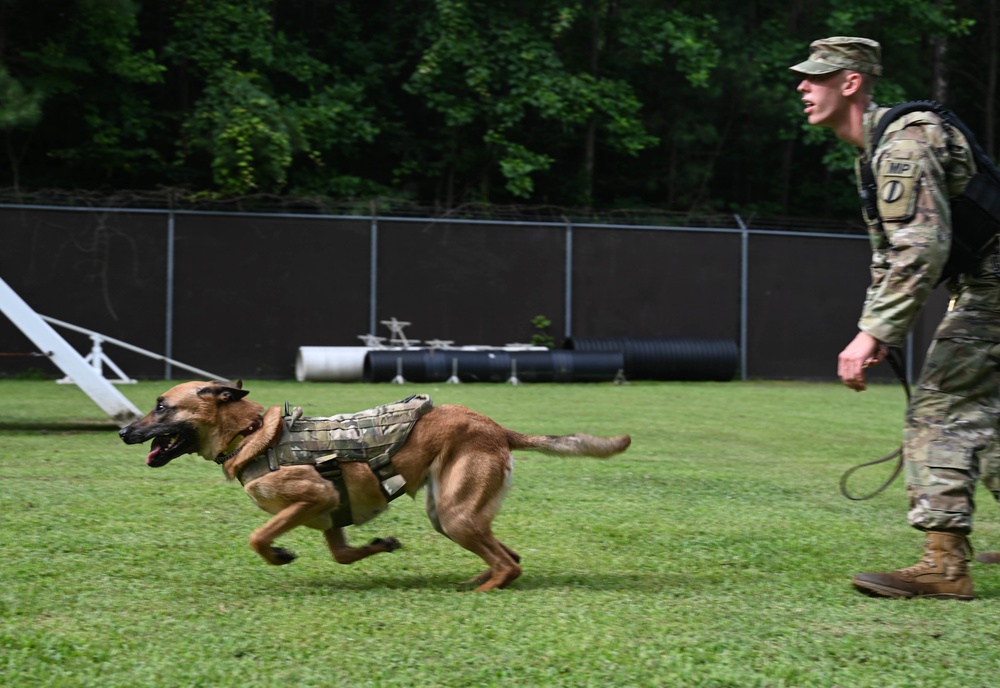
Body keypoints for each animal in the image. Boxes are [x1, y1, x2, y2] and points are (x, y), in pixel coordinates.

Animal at [121, 378, 628, 588]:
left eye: (162, 407)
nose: (124, 431)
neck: (250, 435)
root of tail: (498, 428)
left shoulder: (315, 495)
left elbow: (258, 536)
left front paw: (279, 554)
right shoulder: (330, 515)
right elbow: (344, 555)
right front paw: (381, 545)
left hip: (455, 515)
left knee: (510, 564)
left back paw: (483, 589)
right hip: (450, 513)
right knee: (510, 556)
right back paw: (479, 578)